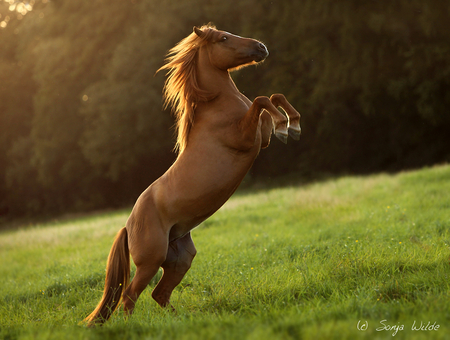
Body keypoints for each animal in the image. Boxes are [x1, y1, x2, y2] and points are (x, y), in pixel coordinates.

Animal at [85, 23, 300, 326]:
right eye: (224, 38)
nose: (261, 47)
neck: (217, 107)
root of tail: (128, 225)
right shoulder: (245, 139)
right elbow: (261, 100)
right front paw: (287, 125)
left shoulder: (261, 138)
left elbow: (272, 98)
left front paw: (292, 125)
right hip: (150, 261)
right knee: (130, 295)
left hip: (180, 258)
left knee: (159, 294)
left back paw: (183, 320)